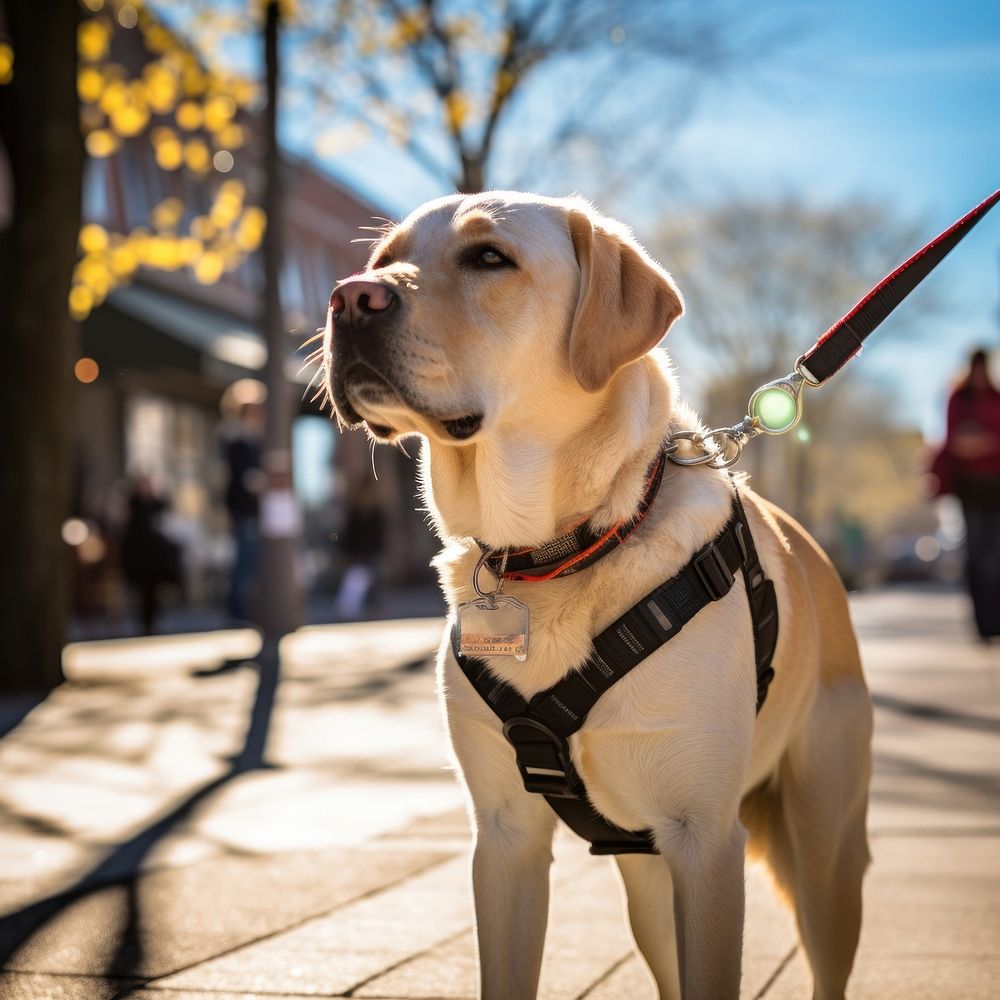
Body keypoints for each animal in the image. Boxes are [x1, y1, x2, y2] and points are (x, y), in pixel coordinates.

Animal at [324, 191, 872, 996]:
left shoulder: (705, 840)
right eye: (381, 259)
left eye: (490, 258)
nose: (347, 298)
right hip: (647, 884)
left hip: (826, 853)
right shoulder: (504, 838)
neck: (553, 552)